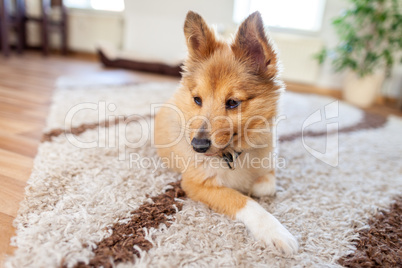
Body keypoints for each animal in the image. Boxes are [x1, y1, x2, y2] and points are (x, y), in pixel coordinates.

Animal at [154, 11, 298, 255]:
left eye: (232, 103)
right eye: (197, 100)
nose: (198, 146)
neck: (232, 153)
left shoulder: (270, 162)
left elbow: (266, 186)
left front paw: (254, 186)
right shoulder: (196, 183)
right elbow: (241, 200)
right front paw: (273, 230)